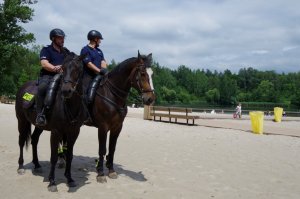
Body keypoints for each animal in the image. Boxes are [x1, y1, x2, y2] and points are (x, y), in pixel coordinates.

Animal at [15, 52, 86, 191]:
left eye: (78, 69)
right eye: (63, 68)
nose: (66, 91)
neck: (69, 105)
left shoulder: (74, 132)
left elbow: (69, 155)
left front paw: (69, 179)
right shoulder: (56, 132)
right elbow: (53, 157)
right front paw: (52, 182)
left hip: (39, 126)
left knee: (34, 139)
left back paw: (37, 165)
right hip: (21, 121)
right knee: (21, 141)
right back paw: (20, 166)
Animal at [83, 51, 156, 182]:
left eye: (152, 73)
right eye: (142, 73)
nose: (150, 99)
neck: (112, 95)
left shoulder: (117, 127)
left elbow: (112, 148)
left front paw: (111, 170)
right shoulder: (103, 127)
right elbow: (102, 149)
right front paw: (100, 173)